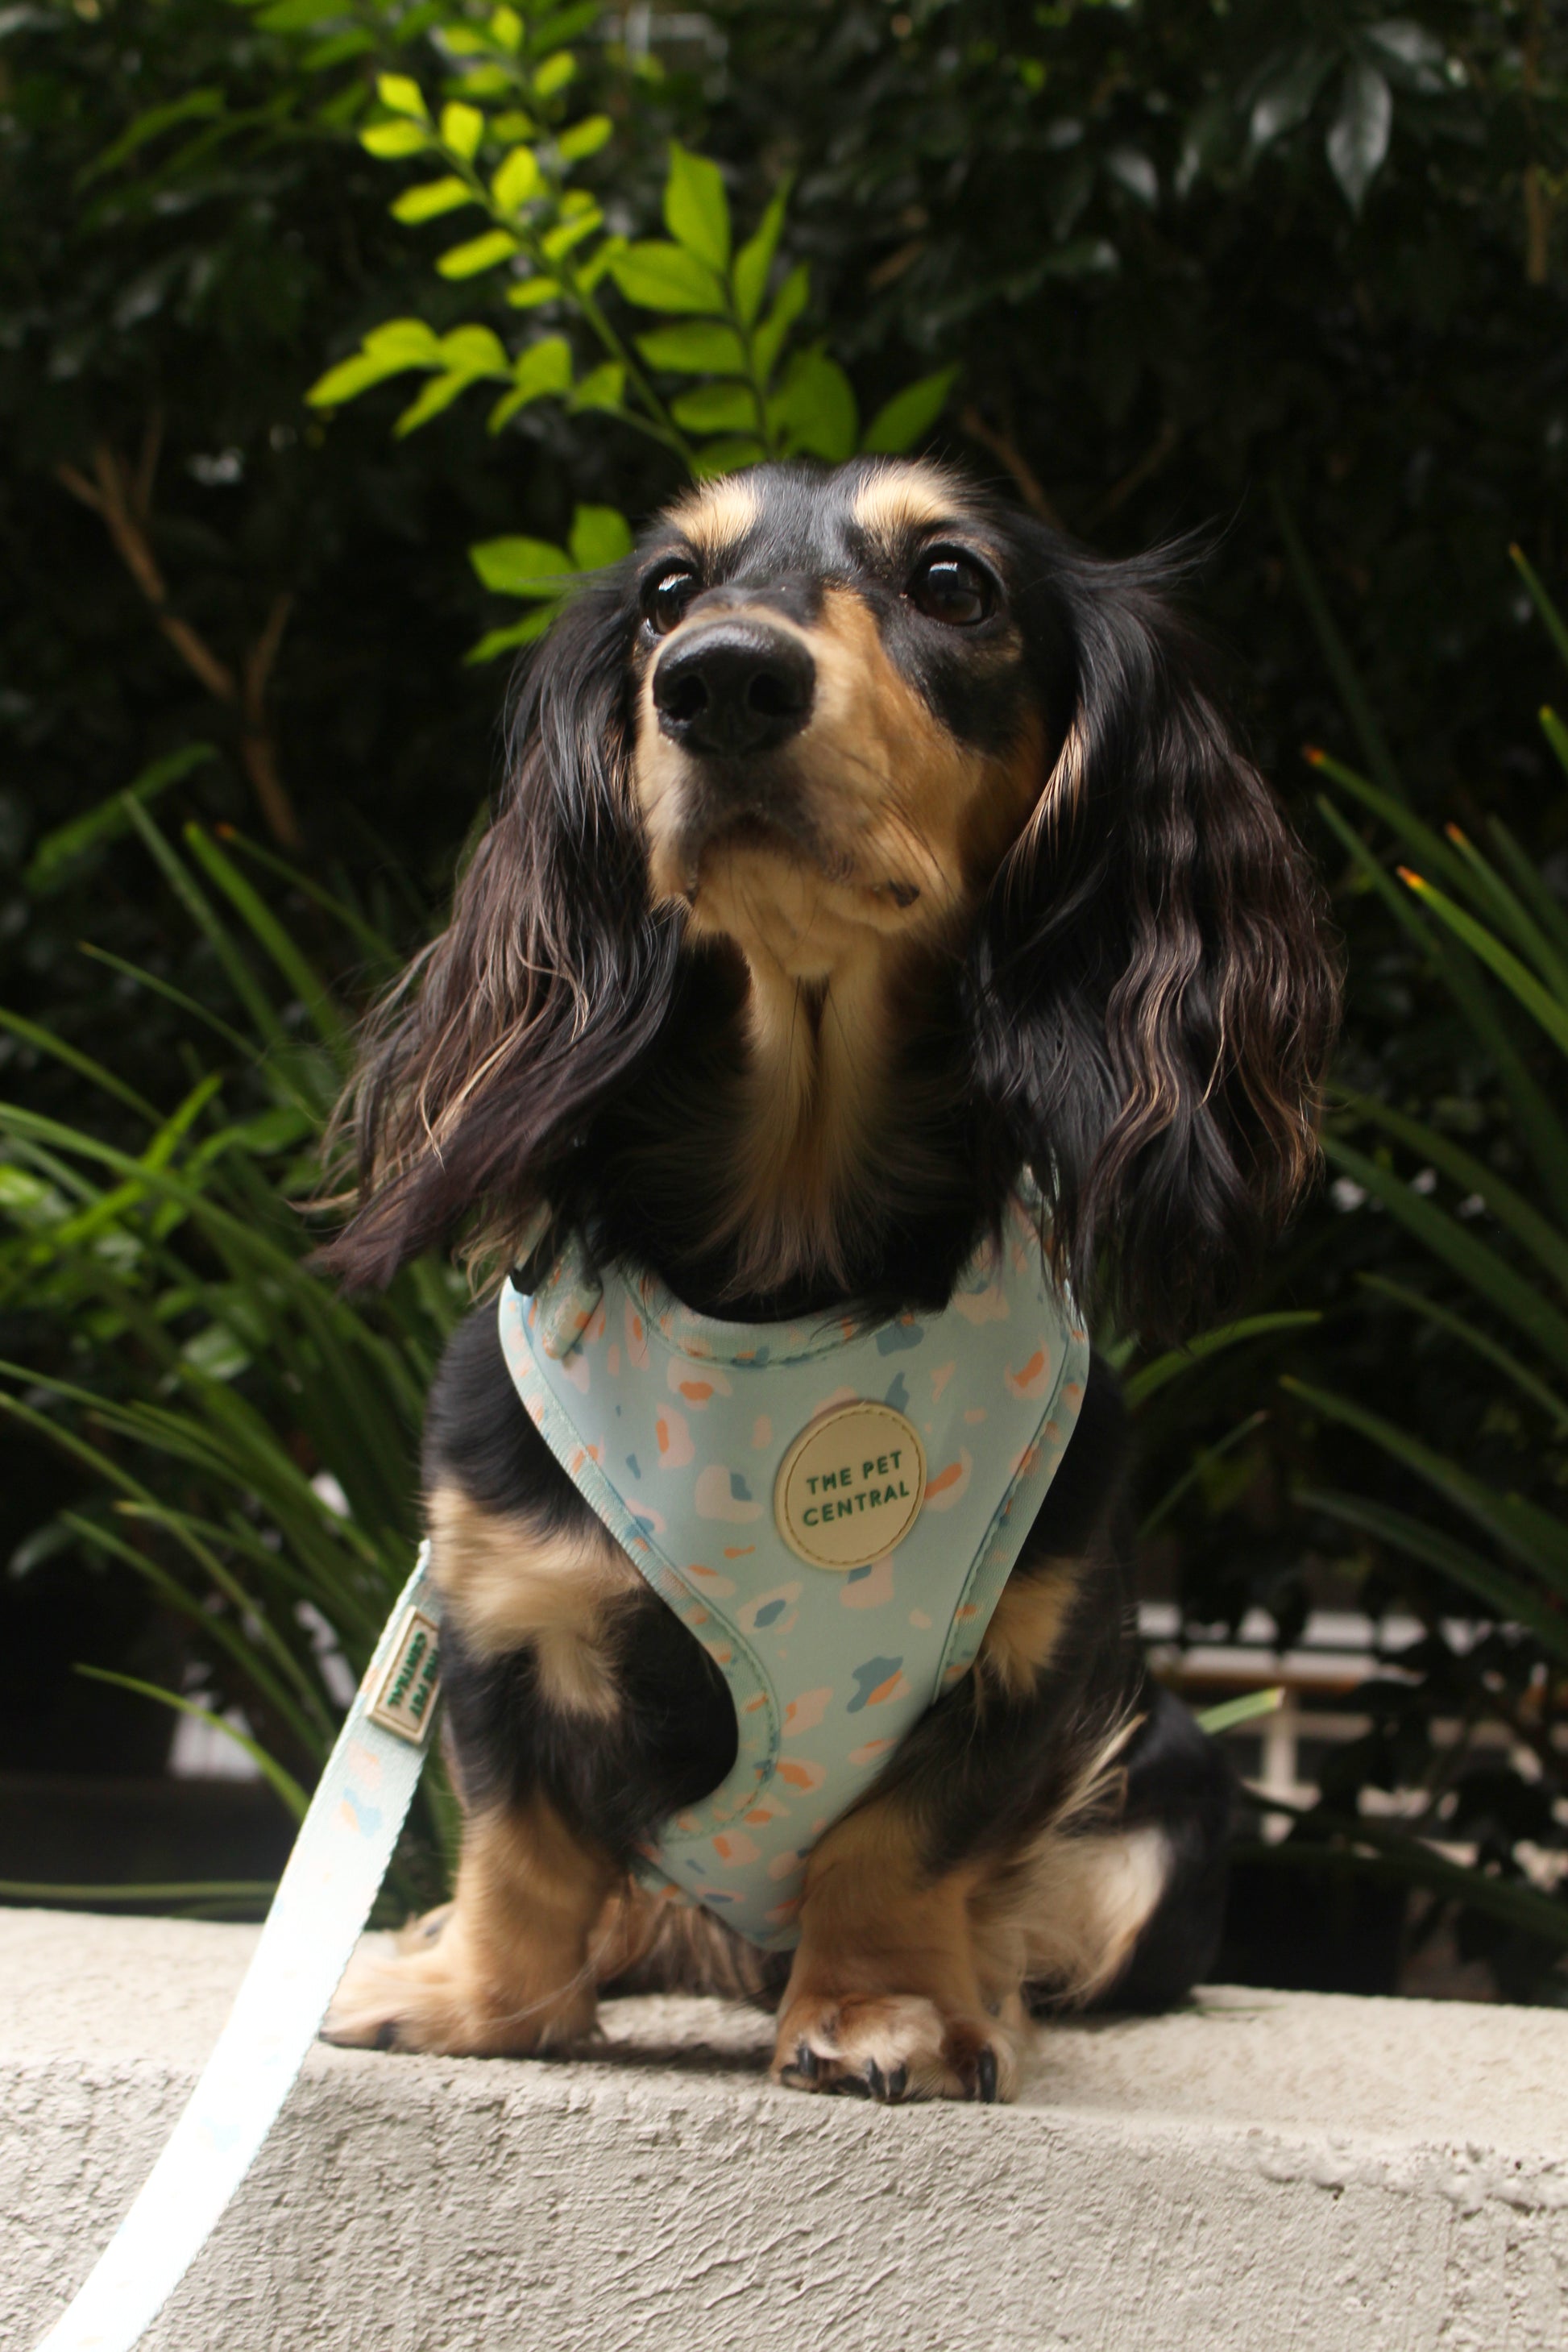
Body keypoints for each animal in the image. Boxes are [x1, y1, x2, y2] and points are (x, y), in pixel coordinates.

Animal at [321, 454, 1335, 2097]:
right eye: (667, 590)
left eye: (953, 584)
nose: (719, 680)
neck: (785, 1268)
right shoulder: (497, 1603)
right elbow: (524, 1840)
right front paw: (483, 1997)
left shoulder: (1027, 1658)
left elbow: (897, 1843)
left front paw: (886, 2008)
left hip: (1165, 1796)